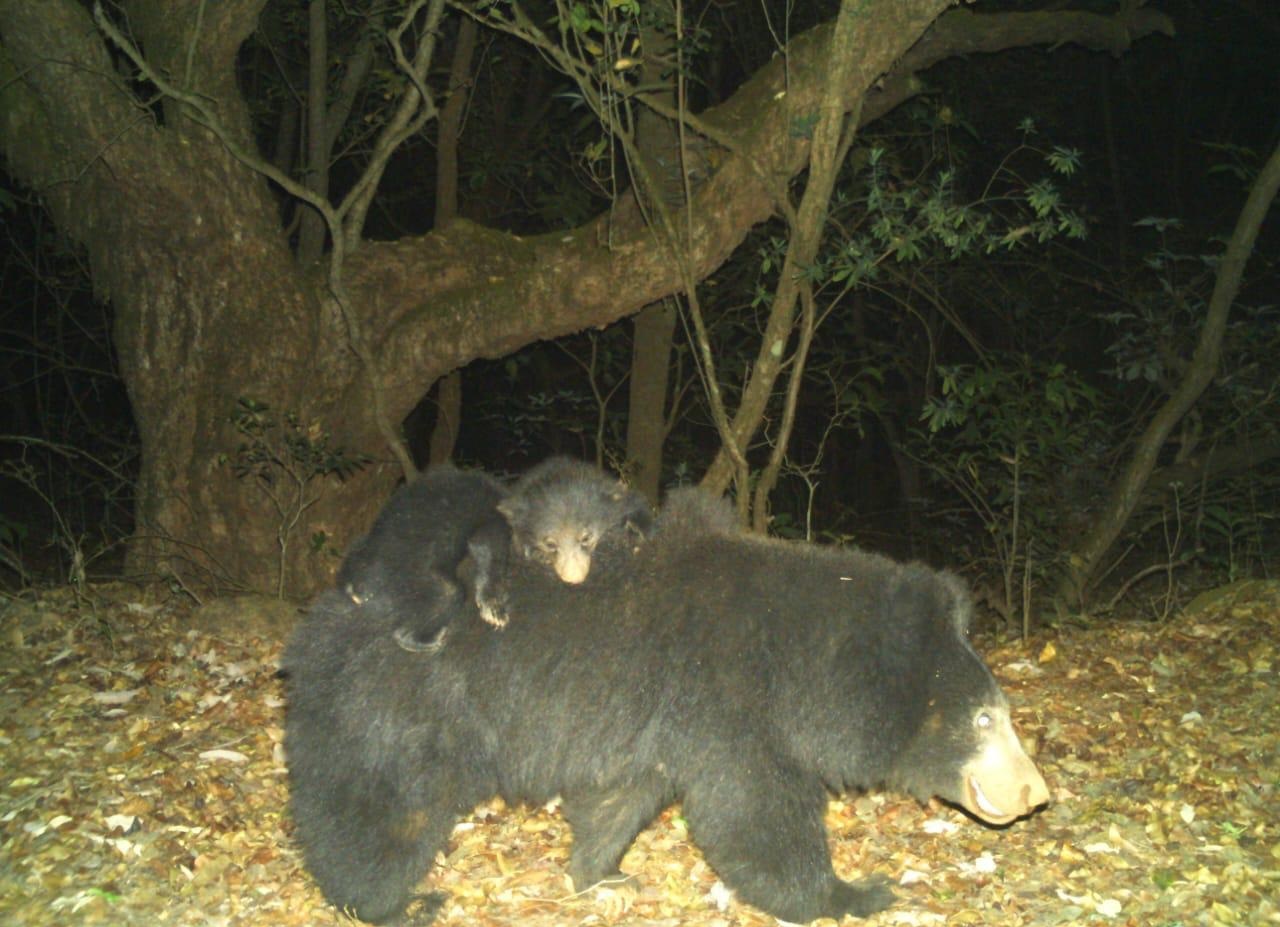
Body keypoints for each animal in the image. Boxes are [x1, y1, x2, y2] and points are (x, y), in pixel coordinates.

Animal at [284, 484, 1050, 925]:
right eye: (985, 717)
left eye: (1004, 710)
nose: (1035, 792)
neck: (806, 658)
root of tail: (319, 625)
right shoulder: (731, 699)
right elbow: (751, 813)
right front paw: (857, 892)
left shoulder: (656, 718)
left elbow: (624, 794)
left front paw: (600, 870)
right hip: (397, 716)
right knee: (380, 816)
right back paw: (395, 901)